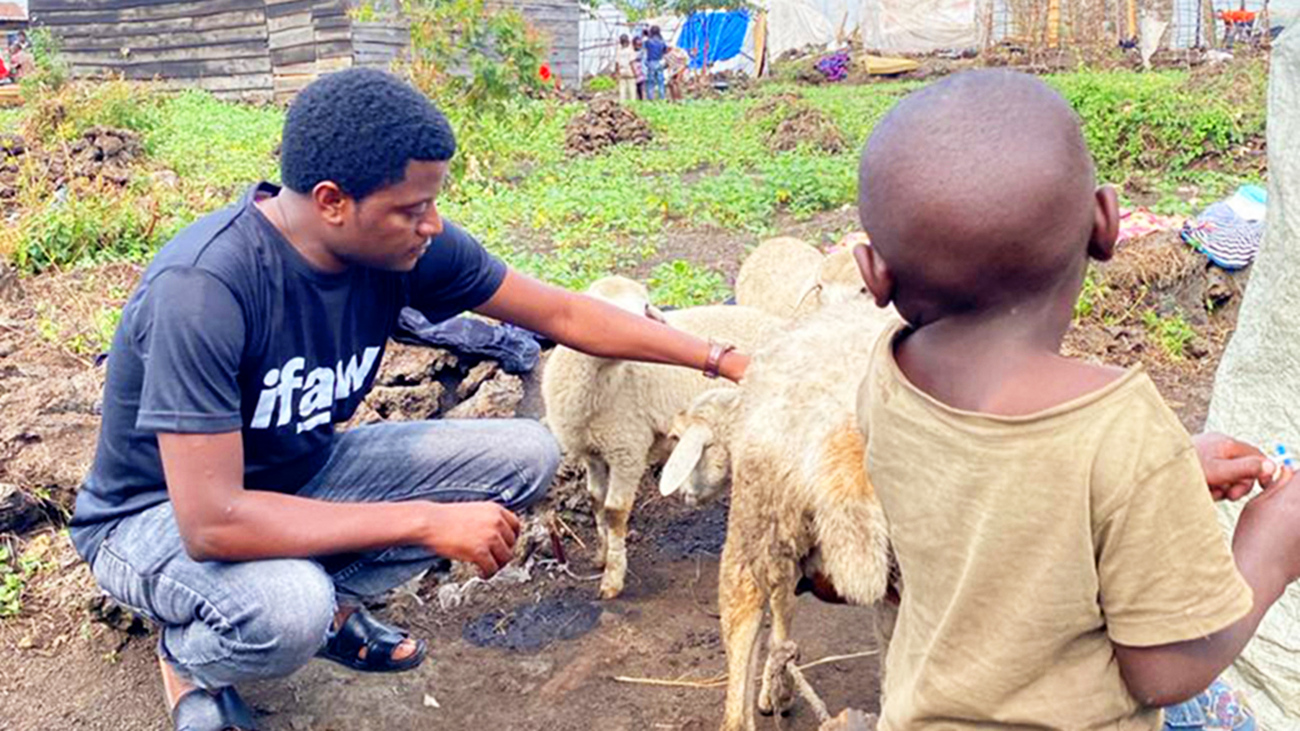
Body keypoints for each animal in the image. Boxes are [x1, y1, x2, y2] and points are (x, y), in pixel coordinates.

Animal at [540, 273, 780, 598]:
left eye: (644, 306)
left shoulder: (627, 450)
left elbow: (614, 512)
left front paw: (612, 578)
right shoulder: (593, 452)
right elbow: (595, 500)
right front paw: (601, 555)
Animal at [660, 296, 904, 728]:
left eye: (677, 438)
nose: (683, 496)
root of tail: (845, 439)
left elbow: (781, 617)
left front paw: (776, 692)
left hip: (754, 527)